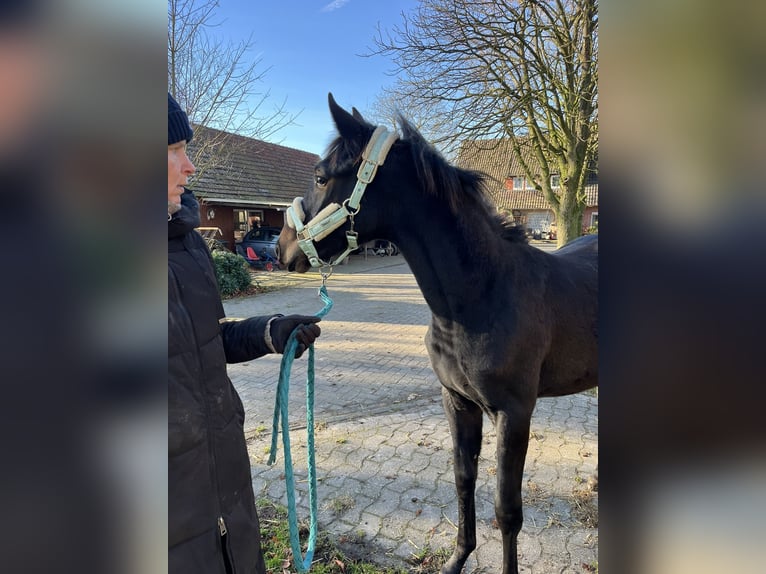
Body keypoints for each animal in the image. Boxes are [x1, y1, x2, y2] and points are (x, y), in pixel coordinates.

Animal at [278, 95, 600, 574]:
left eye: (320, 176)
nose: (282, 249)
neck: (481, 297)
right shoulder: (458, 402)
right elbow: (463, 480)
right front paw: (456, 559)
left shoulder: (514, 414)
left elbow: (507, 510)